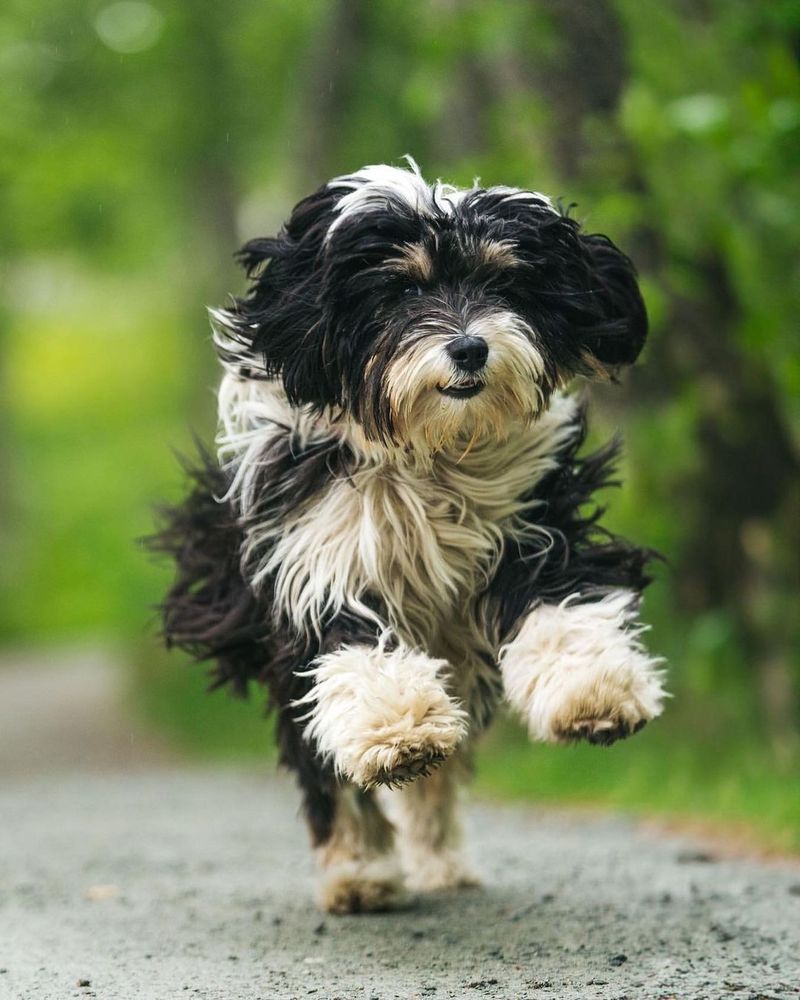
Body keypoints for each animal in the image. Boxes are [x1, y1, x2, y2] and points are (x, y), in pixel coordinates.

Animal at [153, 156, 664, 916]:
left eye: (503, 281)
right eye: (400, 289)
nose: (470, 347)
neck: (434, 455)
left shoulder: (535, 527)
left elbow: (562, 608)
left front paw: (593, 694)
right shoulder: (318, 567)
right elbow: (359, 661)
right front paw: (398, 730)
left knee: (437, 785)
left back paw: (440, 858)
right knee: (326, 770)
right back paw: (359, 870)